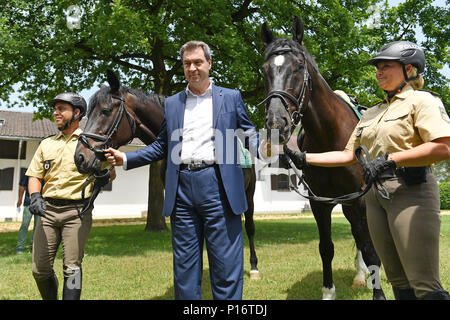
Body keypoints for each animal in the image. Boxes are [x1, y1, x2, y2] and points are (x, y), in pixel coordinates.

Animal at [260, 16, 386, 298]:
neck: (330, 138)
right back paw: (360, 276)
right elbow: (326, 248)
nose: (276, 123)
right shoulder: (320, 203)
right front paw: (329, 292)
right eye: (264, 70)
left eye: (298, 66)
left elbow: (371, 249)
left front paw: (378, 291)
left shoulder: (359, 201)